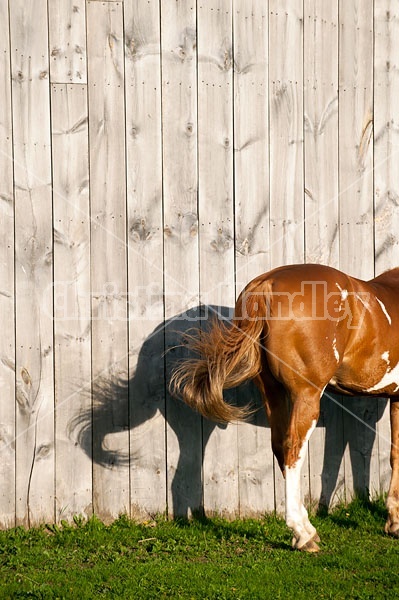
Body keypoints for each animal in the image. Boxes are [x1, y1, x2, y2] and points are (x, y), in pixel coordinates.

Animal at [173, 264, 399, 552]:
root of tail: (265, 285)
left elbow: (394, 453)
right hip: (307, 395)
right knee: (293, 450)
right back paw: (303, 534)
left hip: (273, 392)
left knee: (279, 447)